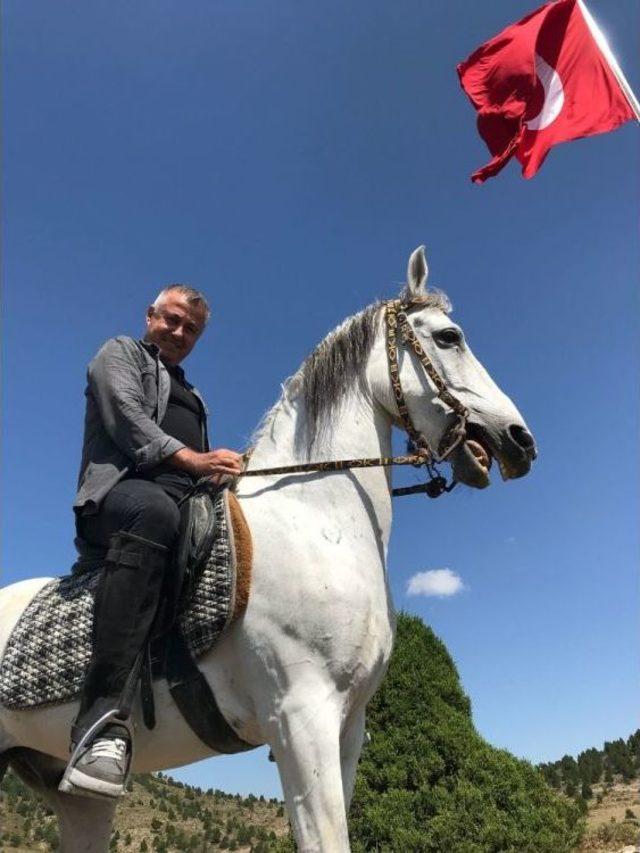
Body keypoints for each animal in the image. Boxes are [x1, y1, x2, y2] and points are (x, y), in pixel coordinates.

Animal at [0, 248, 536, 852]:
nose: (521, 441)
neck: (313, 520)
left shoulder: (348, 728)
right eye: (449, 337)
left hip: (74, 794)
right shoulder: (302, 716)